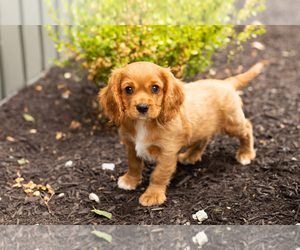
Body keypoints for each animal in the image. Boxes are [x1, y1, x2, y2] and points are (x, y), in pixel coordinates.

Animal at [98, 61, 262, 206]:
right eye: (128, 89)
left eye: (155, 88)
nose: (142, 107)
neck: (143, 124)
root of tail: (226, 83)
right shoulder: (131, 144)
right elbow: (133, 164)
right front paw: (130, 181)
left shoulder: (167, 152)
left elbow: (158, 175)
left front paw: (152, 195)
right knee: (204, 138)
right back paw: (191, 156)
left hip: (233, 124)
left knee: (247, 128)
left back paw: (246, 154)